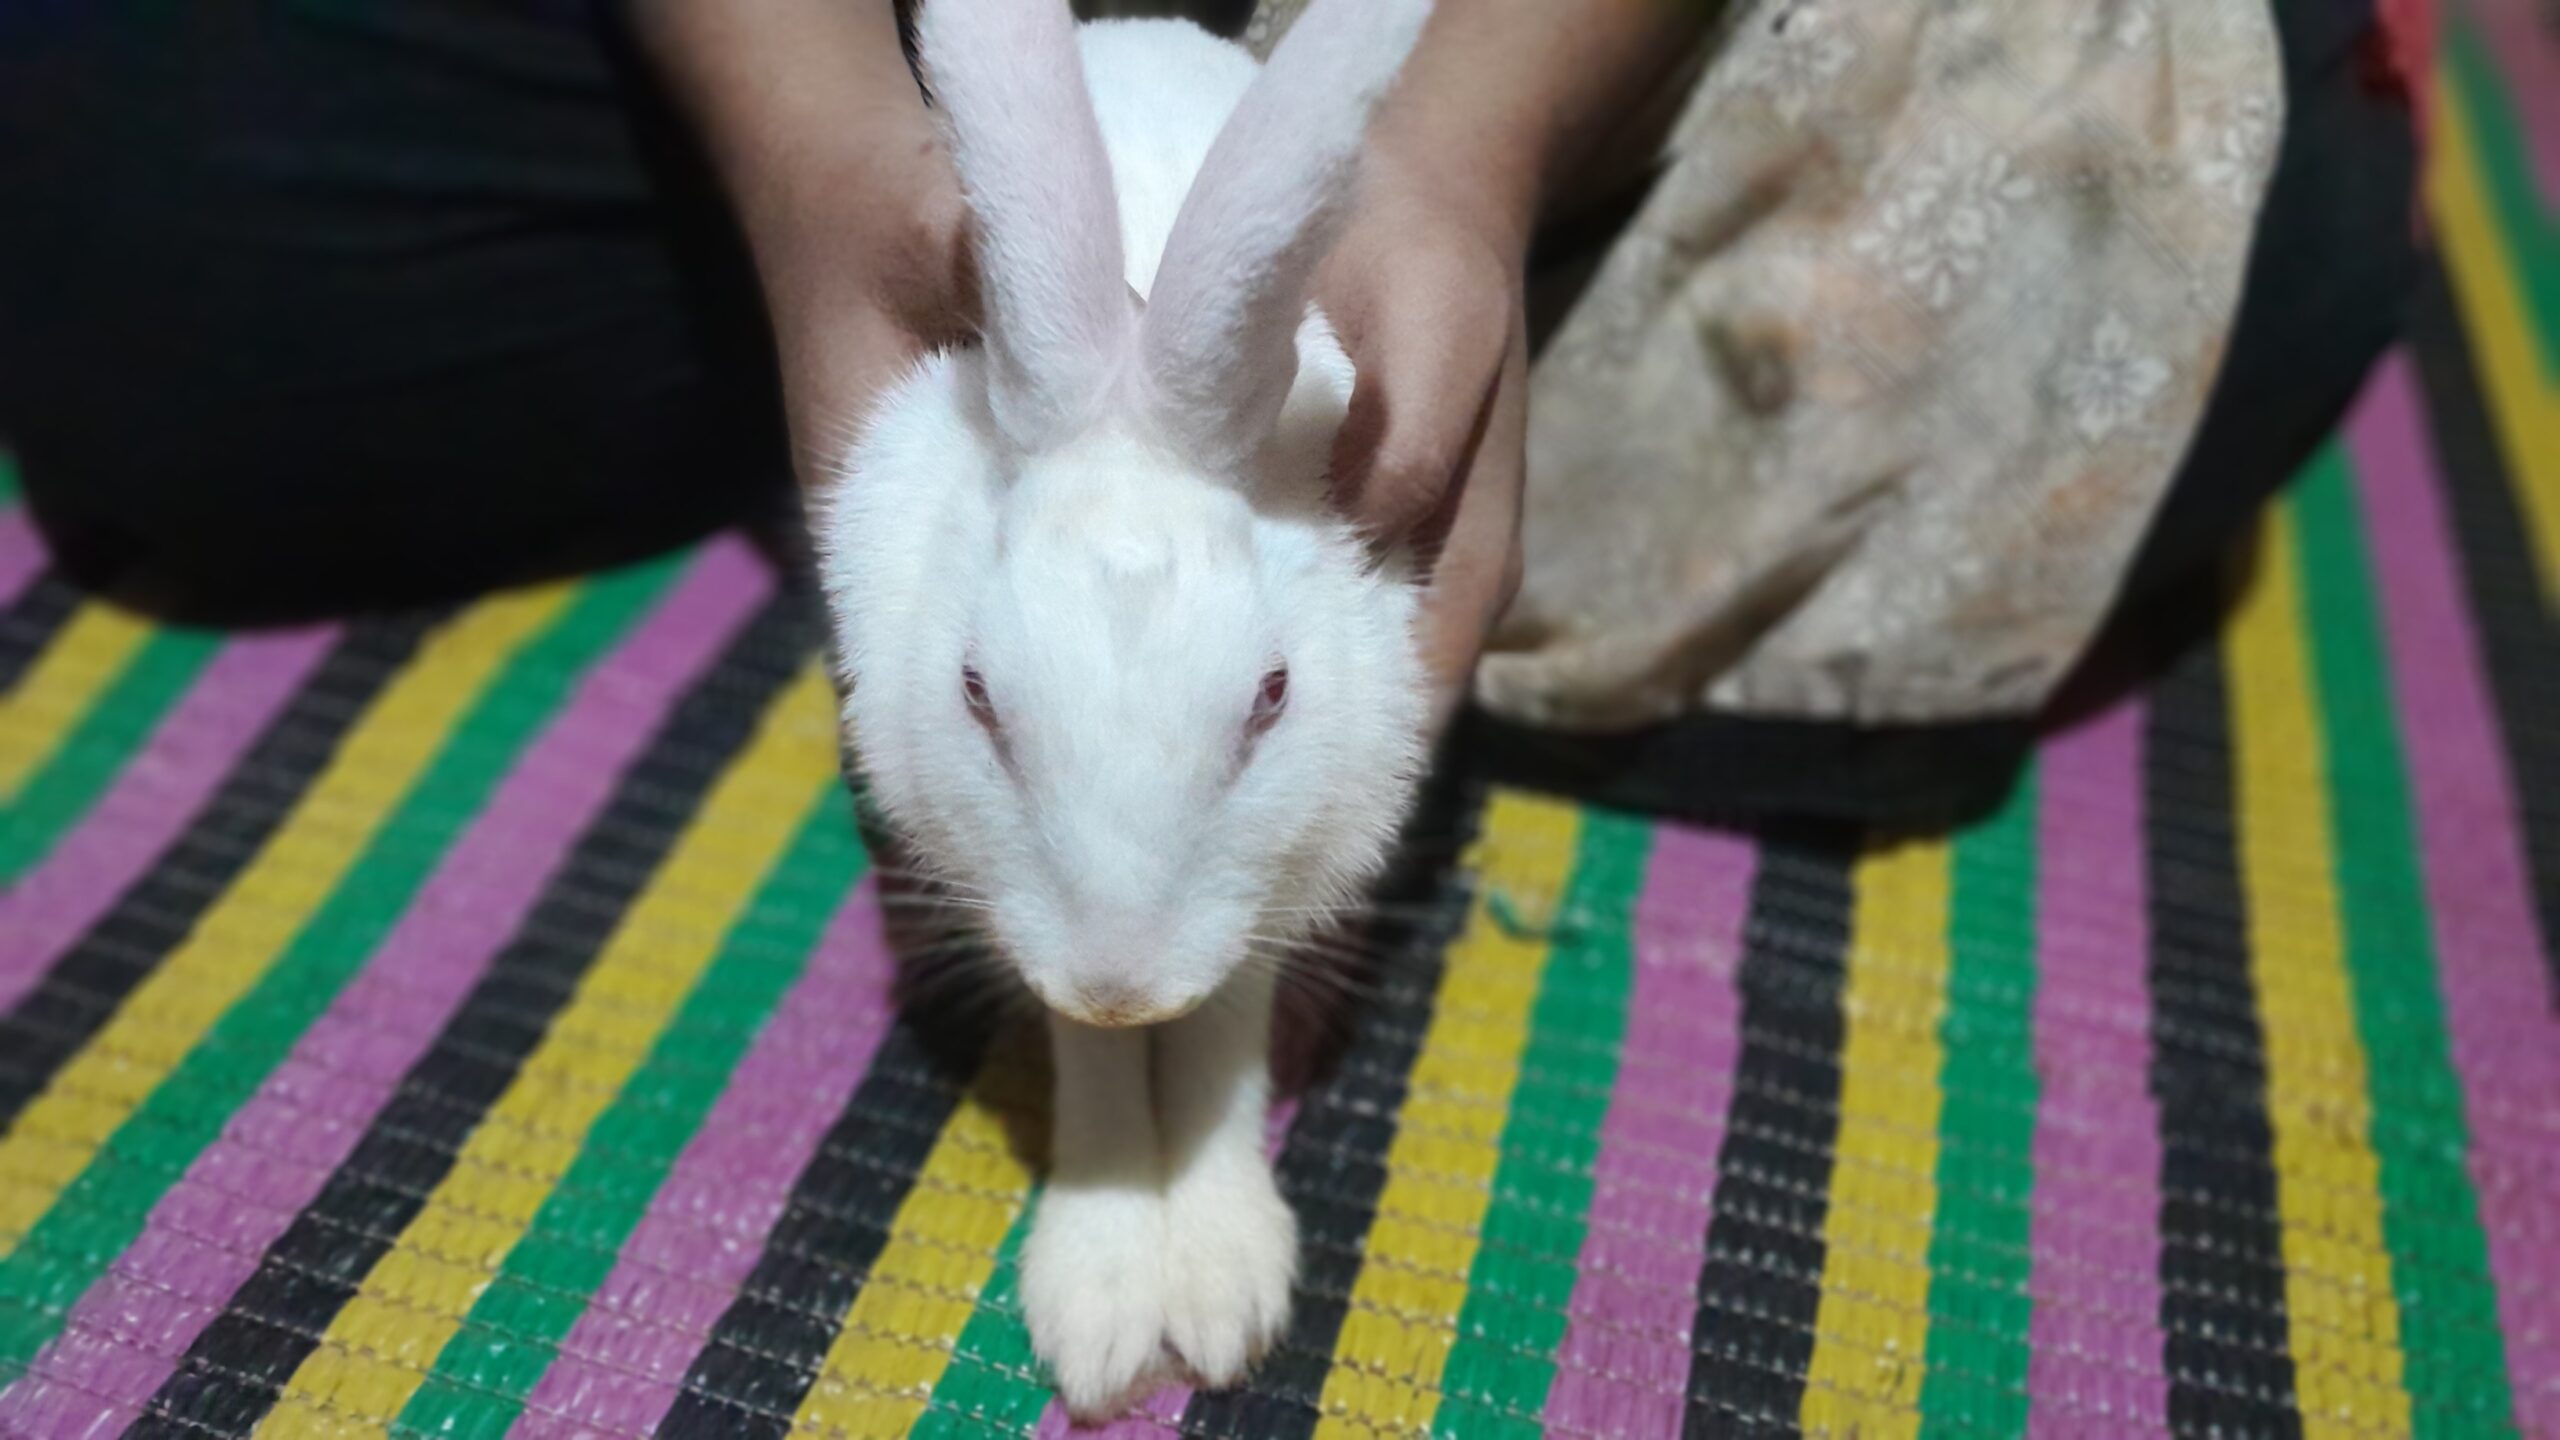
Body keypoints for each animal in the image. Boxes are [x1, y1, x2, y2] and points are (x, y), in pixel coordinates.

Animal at [816, 0, 1436, 1417]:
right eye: (976, 695)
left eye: (1272, 698)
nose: (1119, 984)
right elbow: (1088, 1066)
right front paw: (1100, 1299)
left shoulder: (1272, 887)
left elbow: (1223, 1040)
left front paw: (1220, 1283)